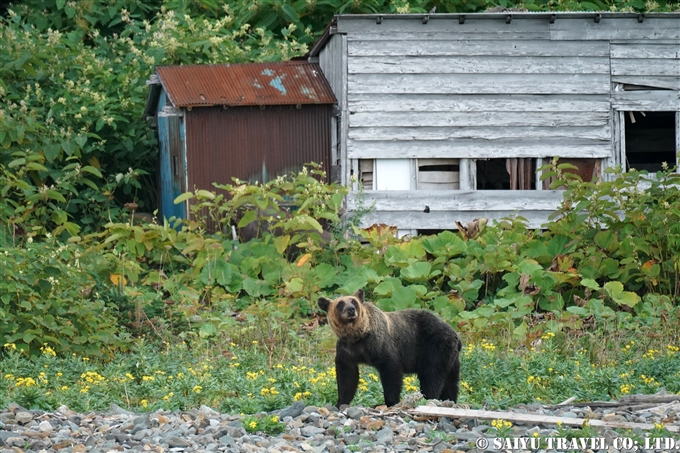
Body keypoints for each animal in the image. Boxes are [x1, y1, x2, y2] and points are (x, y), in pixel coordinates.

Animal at [318, 288, 462, 408]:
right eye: (340, 303)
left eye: (354, 301)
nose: (351, 309)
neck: (357, 335)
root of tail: (455, 335)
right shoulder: (347, 349)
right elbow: (347, 376)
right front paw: (341, 402)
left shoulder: (380, 344)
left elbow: (391, 371)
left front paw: (391, 401)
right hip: (451, 359)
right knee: (450, 383)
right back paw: (449, 400)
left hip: (434, 348)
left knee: (432, 376)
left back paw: (428, 398)